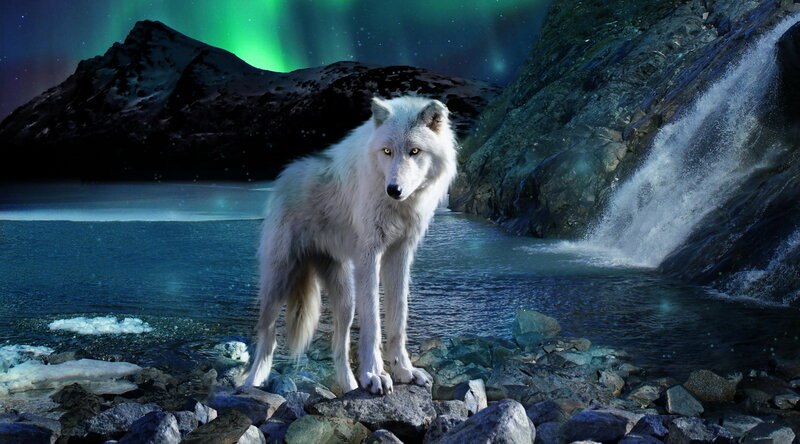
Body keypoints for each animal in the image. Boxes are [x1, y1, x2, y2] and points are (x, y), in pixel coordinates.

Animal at [244, 96, 458, 395]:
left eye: (414, 151)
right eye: (387, 151)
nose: (394, 189)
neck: (398, 206)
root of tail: (284, 176)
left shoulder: (400, 254)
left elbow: (398, 319)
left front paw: (404, 371)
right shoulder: (369, 256)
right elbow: (373, 325)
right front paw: (374, 375)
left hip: (345, 298)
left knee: (339, 346)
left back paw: (350, 386)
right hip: (278, 282)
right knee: (267, 336)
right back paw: (252, 383)